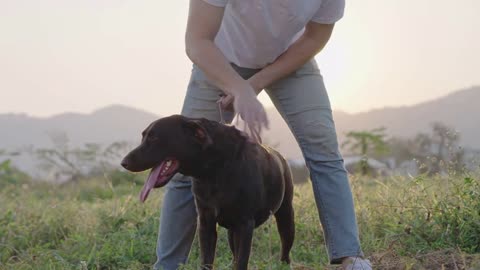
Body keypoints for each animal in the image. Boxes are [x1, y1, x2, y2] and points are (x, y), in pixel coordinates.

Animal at [121, 115, 292, 268]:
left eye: (154, 138)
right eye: (144, 136)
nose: (124, 163)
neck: (214, 171)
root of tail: (280, 156)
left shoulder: (245, 225)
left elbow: (241, 262)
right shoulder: (206, 222)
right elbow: (207, 260)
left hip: (285, 218)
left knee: (285, 251)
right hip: (232, 232)